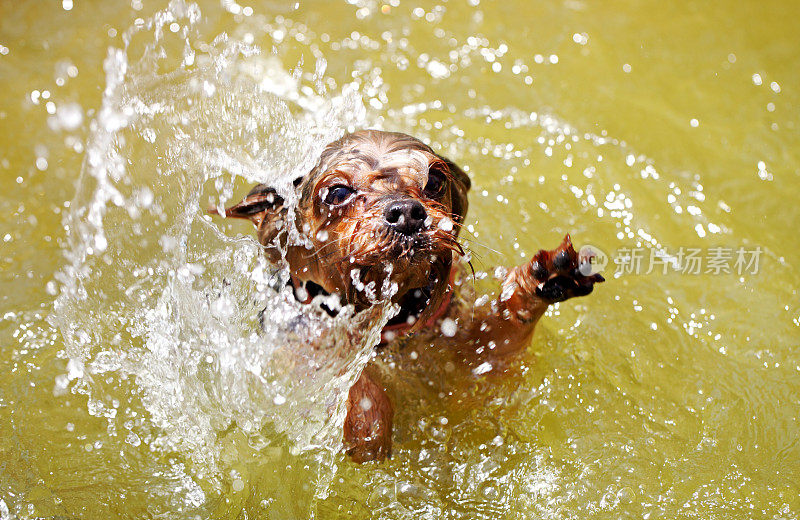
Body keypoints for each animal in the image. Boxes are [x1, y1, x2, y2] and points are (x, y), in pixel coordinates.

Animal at [212, 130, 600, 464]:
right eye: (337, 192)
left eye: (435, 180)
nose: (406, 212)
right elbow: (343, 375)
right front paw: (368, 420)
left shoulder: (477, 371)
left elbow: (502, 331)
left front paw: (546, 277)